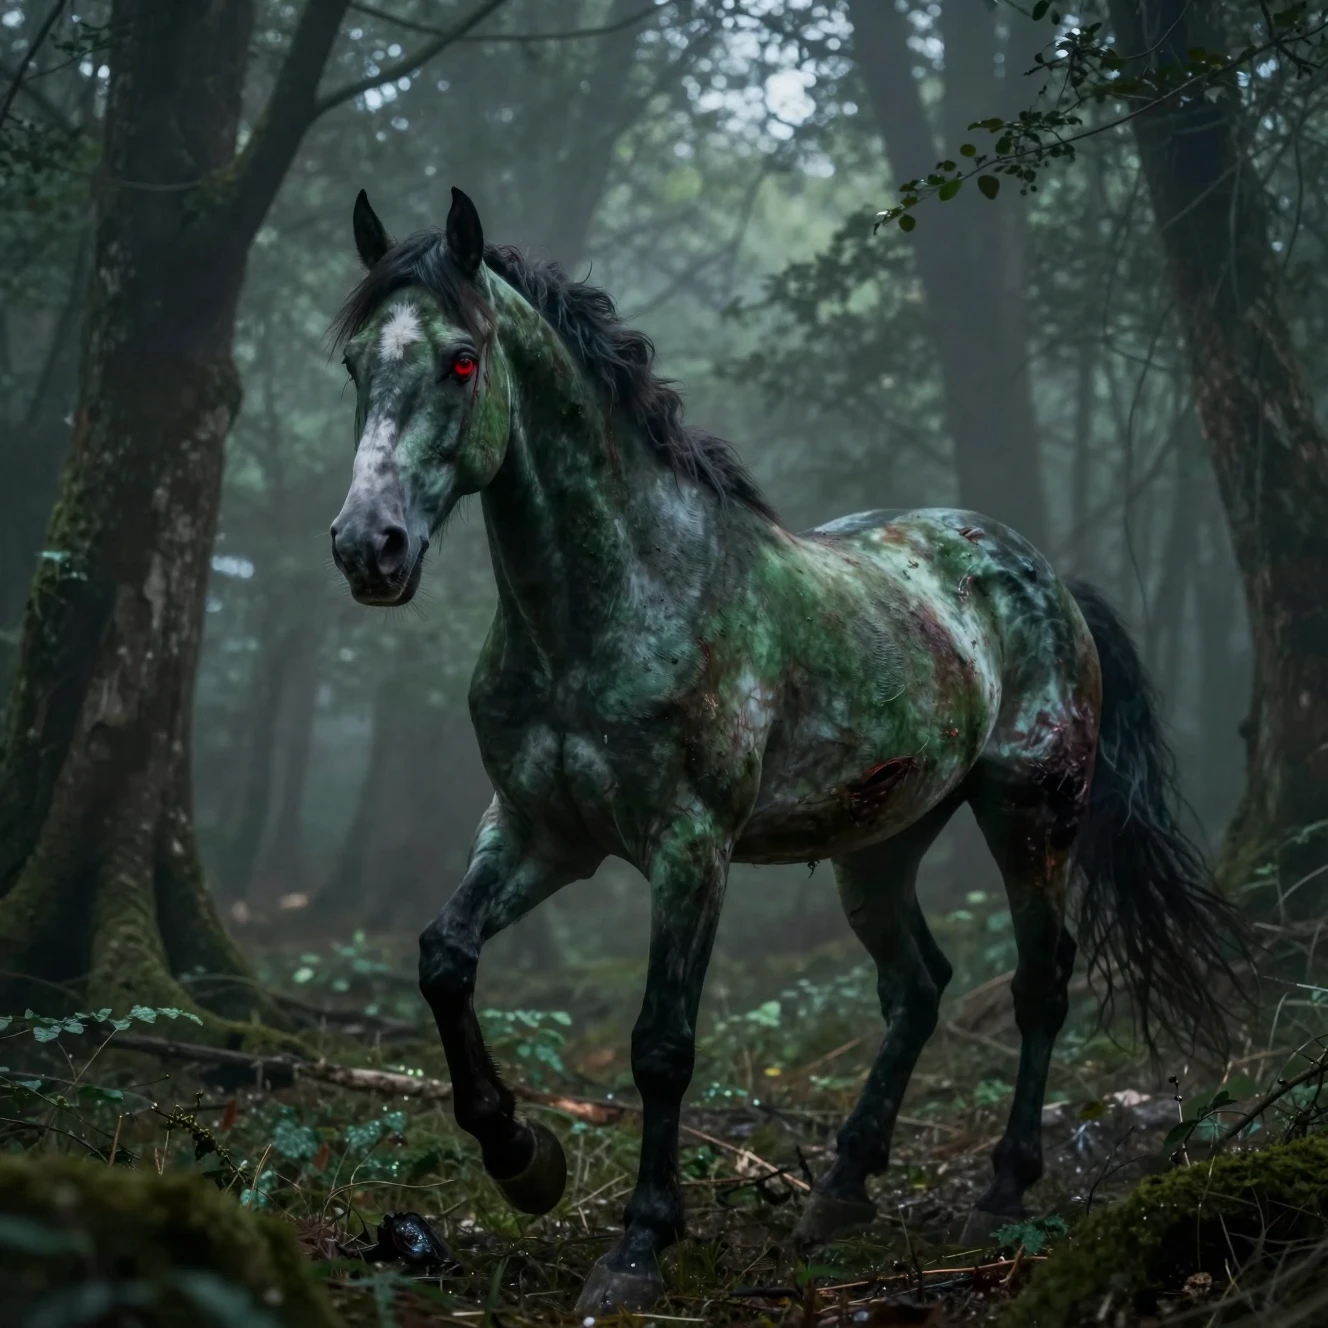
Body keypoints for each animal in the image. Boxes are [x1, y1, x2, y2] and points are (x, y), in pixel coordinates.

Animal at [327, 187, 1243, 1314]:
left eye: (462, 361)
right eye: (354, 363)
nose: (367, 548)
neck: (612, 604)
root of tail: (1045, 575)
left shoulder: (690, 847)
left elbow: (662, 1044)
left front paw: (638, 1245)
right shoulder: (539, 831)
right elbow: (443, 958)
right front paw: (523, 1158)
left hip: (1031, 812)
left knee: (1041, 981)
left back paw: (999, 1190)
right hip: (877, 845)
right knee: (918, 985)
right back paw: (841, 1186)